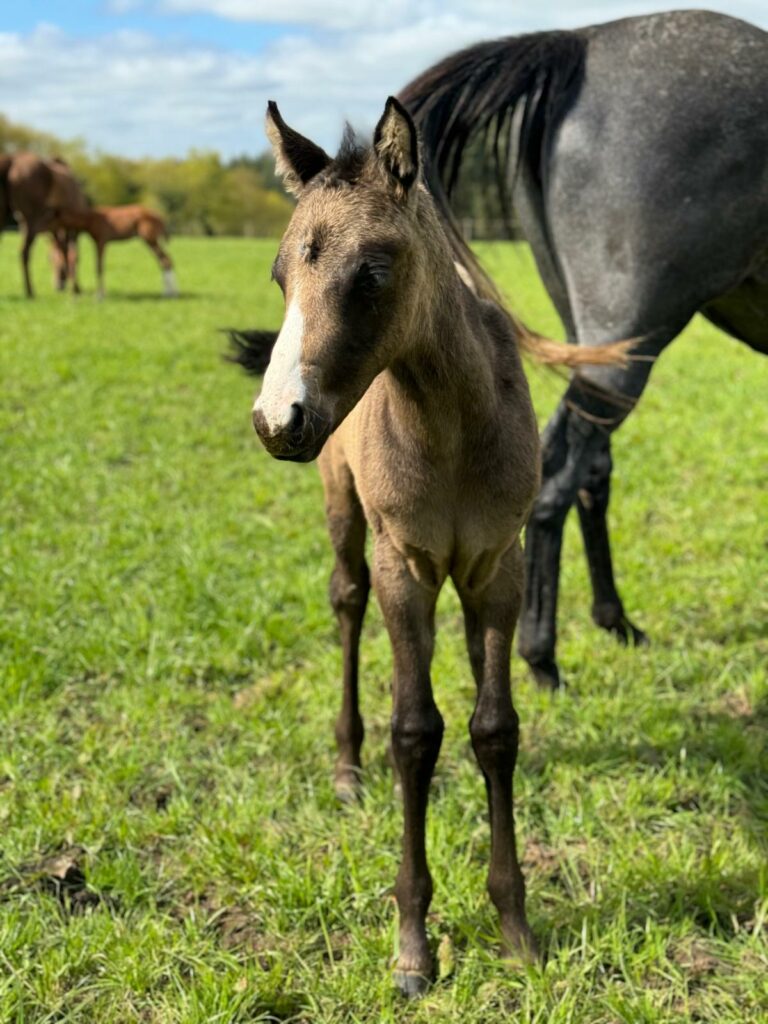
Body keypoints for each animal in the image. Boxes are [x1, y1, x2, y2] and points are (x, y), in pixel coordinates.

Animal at [0, 150, 86, 299]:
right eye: (50, 260)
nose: (58, 286)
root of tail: (11, 159)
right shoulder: (70, 227)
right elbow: (71, 253)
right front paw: (75, 288)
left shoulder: (56, 229)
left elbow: (63, 250)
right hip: (31, 219)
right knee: (25, 252)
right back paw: (30, 291)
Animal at [234, 99, 630, 995]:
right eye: (280, 277)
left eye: (372, 273)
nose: (277, 420)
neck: (447, 426)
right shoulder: (404, 566)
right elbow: (414, 731)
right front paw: (414, 946)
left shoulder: (497, 565)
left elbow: (495, 728)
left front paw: (515, 929)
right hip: (344, 509)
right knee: (345, 604)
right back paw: (347, 770)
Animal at [403, 6, 768, 688]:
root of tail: (582, 40)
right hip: (621, 350)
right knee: (557, 479)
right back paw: (542, 656)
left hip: (593, 349)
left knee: (590, 472)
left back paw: (614, 620)